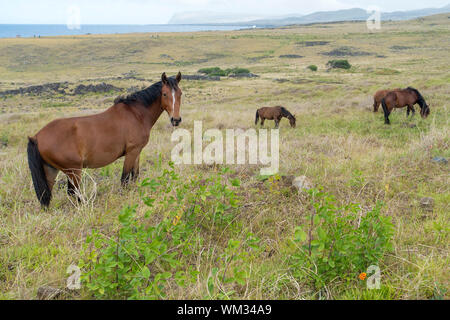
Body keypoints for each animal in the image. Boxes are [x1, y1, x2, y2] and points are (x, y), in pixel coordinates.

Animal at [27, 72, 183, 208]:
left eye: (180, 93)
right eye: (164, 94)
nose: (176, 120)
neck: (136, 114)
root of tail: (37, 136)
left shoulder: (137, 152)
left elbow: (135, 177)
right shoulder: (131, 152)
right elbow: (125, 180)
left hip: (51, 170)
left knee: (47, 195)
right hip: (74, 171)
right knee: (73, 192)